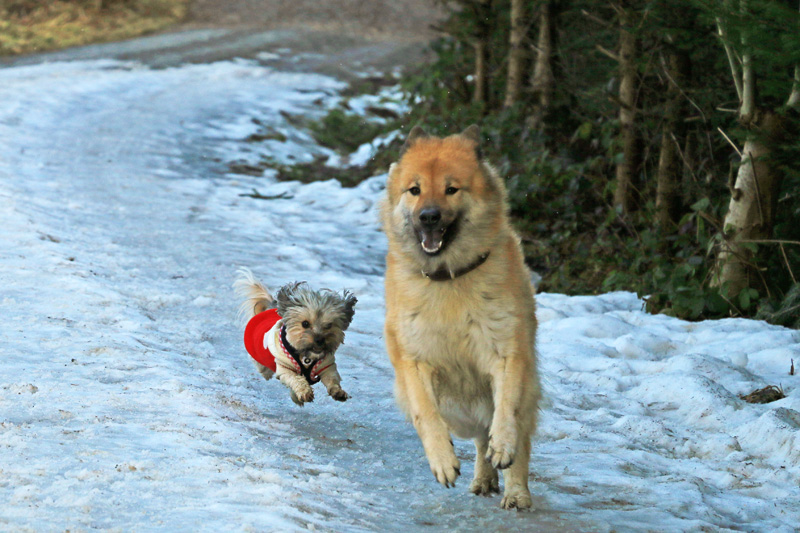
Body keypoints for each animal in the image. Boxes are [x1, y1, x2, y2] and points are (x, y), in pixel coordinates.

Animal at [233, 268, 354, 406]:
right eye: (305, 323)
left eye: (329, 325)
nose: (319, 340)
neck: (307, 355)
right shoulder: (284, 367)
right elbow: (295, 378)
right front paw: (304, 392)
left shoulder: (327, 365)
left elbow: (331, 378)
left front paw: (338, 391)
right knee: (263, 368)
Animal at [382, 122, 544, 510]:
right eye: (415, 190)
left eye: (451, 189)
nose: (429, 217)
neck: (448, 278)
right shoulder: (413, 360)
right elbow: (426, 413)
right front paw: (442, 460)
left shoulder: (508, 353)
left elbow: (507, 411)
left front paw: (504, 446)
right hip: (455, 407)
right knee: (476, 434)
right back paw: (484, 477)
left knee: (513, 436)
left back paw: (516, 491)